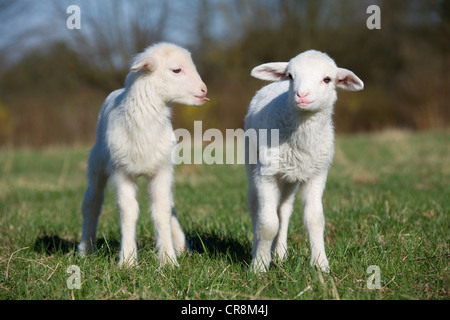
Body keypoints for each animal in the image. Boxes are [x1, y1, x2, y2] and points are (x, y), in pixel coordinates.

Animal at [78, 42, 209, 268]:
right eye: (176, 70)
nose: (204, 90)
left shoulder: (162, 170)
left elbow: (162, 211)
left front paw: (168, 260)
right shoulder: (122, 172)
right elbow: (128, 212)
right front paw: (128, 261)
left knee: (170, 206)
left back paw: (181, 246)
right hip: (97, 164)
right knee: (91, 203)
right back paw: (85, 249)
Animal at [244, 50, 364, 272]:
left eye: (327, 79)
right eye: (291, 76)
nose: (302, 95)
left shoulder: (317, 174)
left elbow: (314, 219)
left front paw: (321, 264)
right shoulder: (266, 174)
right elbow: (268, 223)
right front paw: (259, 266)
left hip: (290, 174)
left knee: (284, 210)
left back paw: (280, 253)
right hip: (252, 160)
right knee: (255, 203)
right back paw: (256, 249)